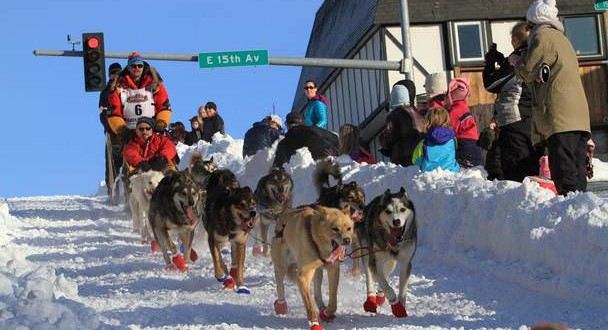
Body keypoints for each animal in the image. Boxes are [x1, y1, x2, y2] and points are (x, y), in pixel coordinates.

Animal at [358, 186, 416, 318]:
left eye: (402, 209)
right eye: (388, 211)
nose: (396, 221)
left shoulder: (406, 263)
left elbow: (402, 290)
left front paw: (401, 306)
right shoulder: (374, 261)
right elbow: (386, 286)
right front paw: (396, 306)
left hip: (391, 262)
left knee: (386, 272)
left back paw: (380, 296)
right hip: (367, 253)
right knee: (371, 277)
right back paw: (371, 300)